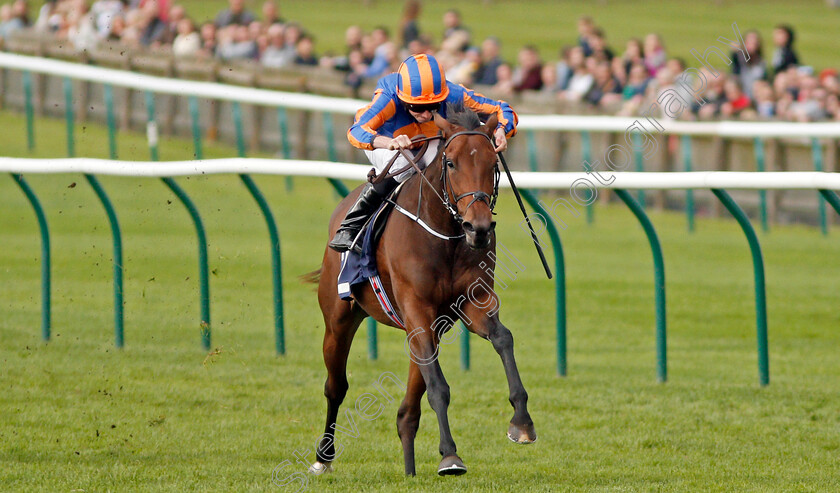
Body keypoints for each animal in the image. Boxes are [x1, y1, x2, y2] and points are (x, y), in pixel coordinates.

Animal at [310, 106, 540, 476]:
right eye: (451, 163)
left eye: (493, 163)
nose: (478, 228)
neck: (445, 235)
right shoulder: (416, 309)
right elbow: (439, 388)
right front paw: (450, 456)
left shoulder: (471, 303)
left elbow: (503, 338)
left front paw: (522, 422)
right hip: (338, 319)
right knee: (336, 386)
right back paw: (323, 457)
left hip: (431, 328)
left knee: (408, 408)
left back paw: (409, 467)